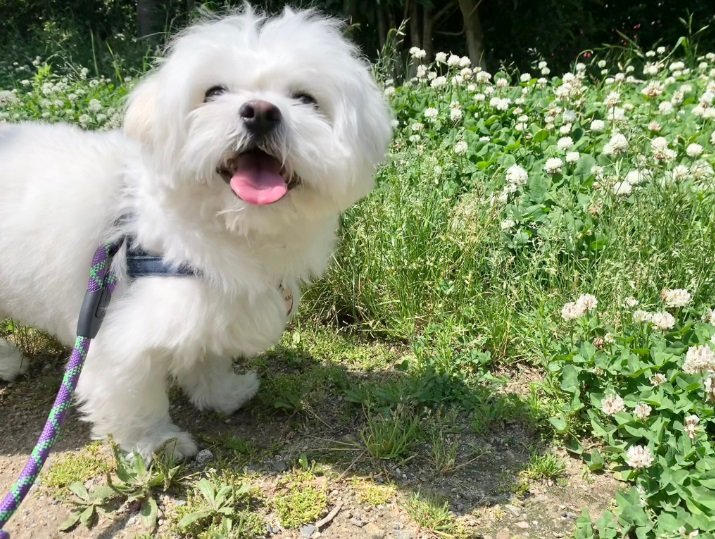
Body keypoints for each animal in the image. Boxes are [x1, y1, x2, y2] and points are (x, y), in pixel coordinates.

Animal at [0, 6, 391, 459]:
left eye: (305, 99)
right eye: (213, 92)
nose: (261, 111)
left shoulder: (215, 304)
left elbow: (207, 356)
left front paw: (225, 393)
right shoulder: (117, 332)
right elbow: (133, 395)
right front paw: (157, 443)